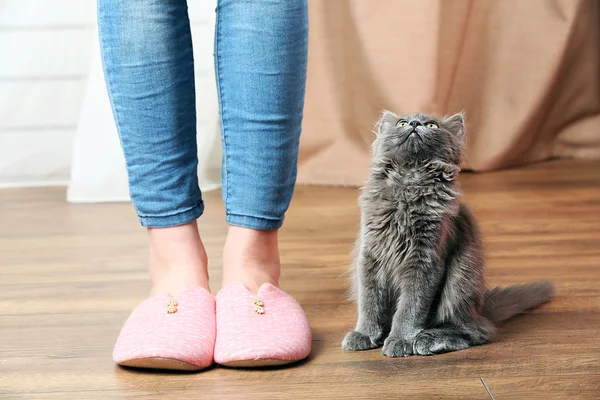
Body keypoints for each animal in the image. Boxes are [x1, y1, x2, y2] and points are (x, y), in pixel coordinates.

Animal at [340, 111, 556, 356]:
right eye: (401, 123)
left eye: (432, 125)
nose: (414, 124)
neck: (409, 180)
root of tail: (480, 308)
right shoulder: (370, 256)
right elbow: (369, 302)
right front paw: (364, 334)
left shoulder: (425, 260)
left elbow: (410, 307)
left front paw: (400, 339)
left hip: (459, 284)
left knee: (476, 331)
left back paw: (427, 340)